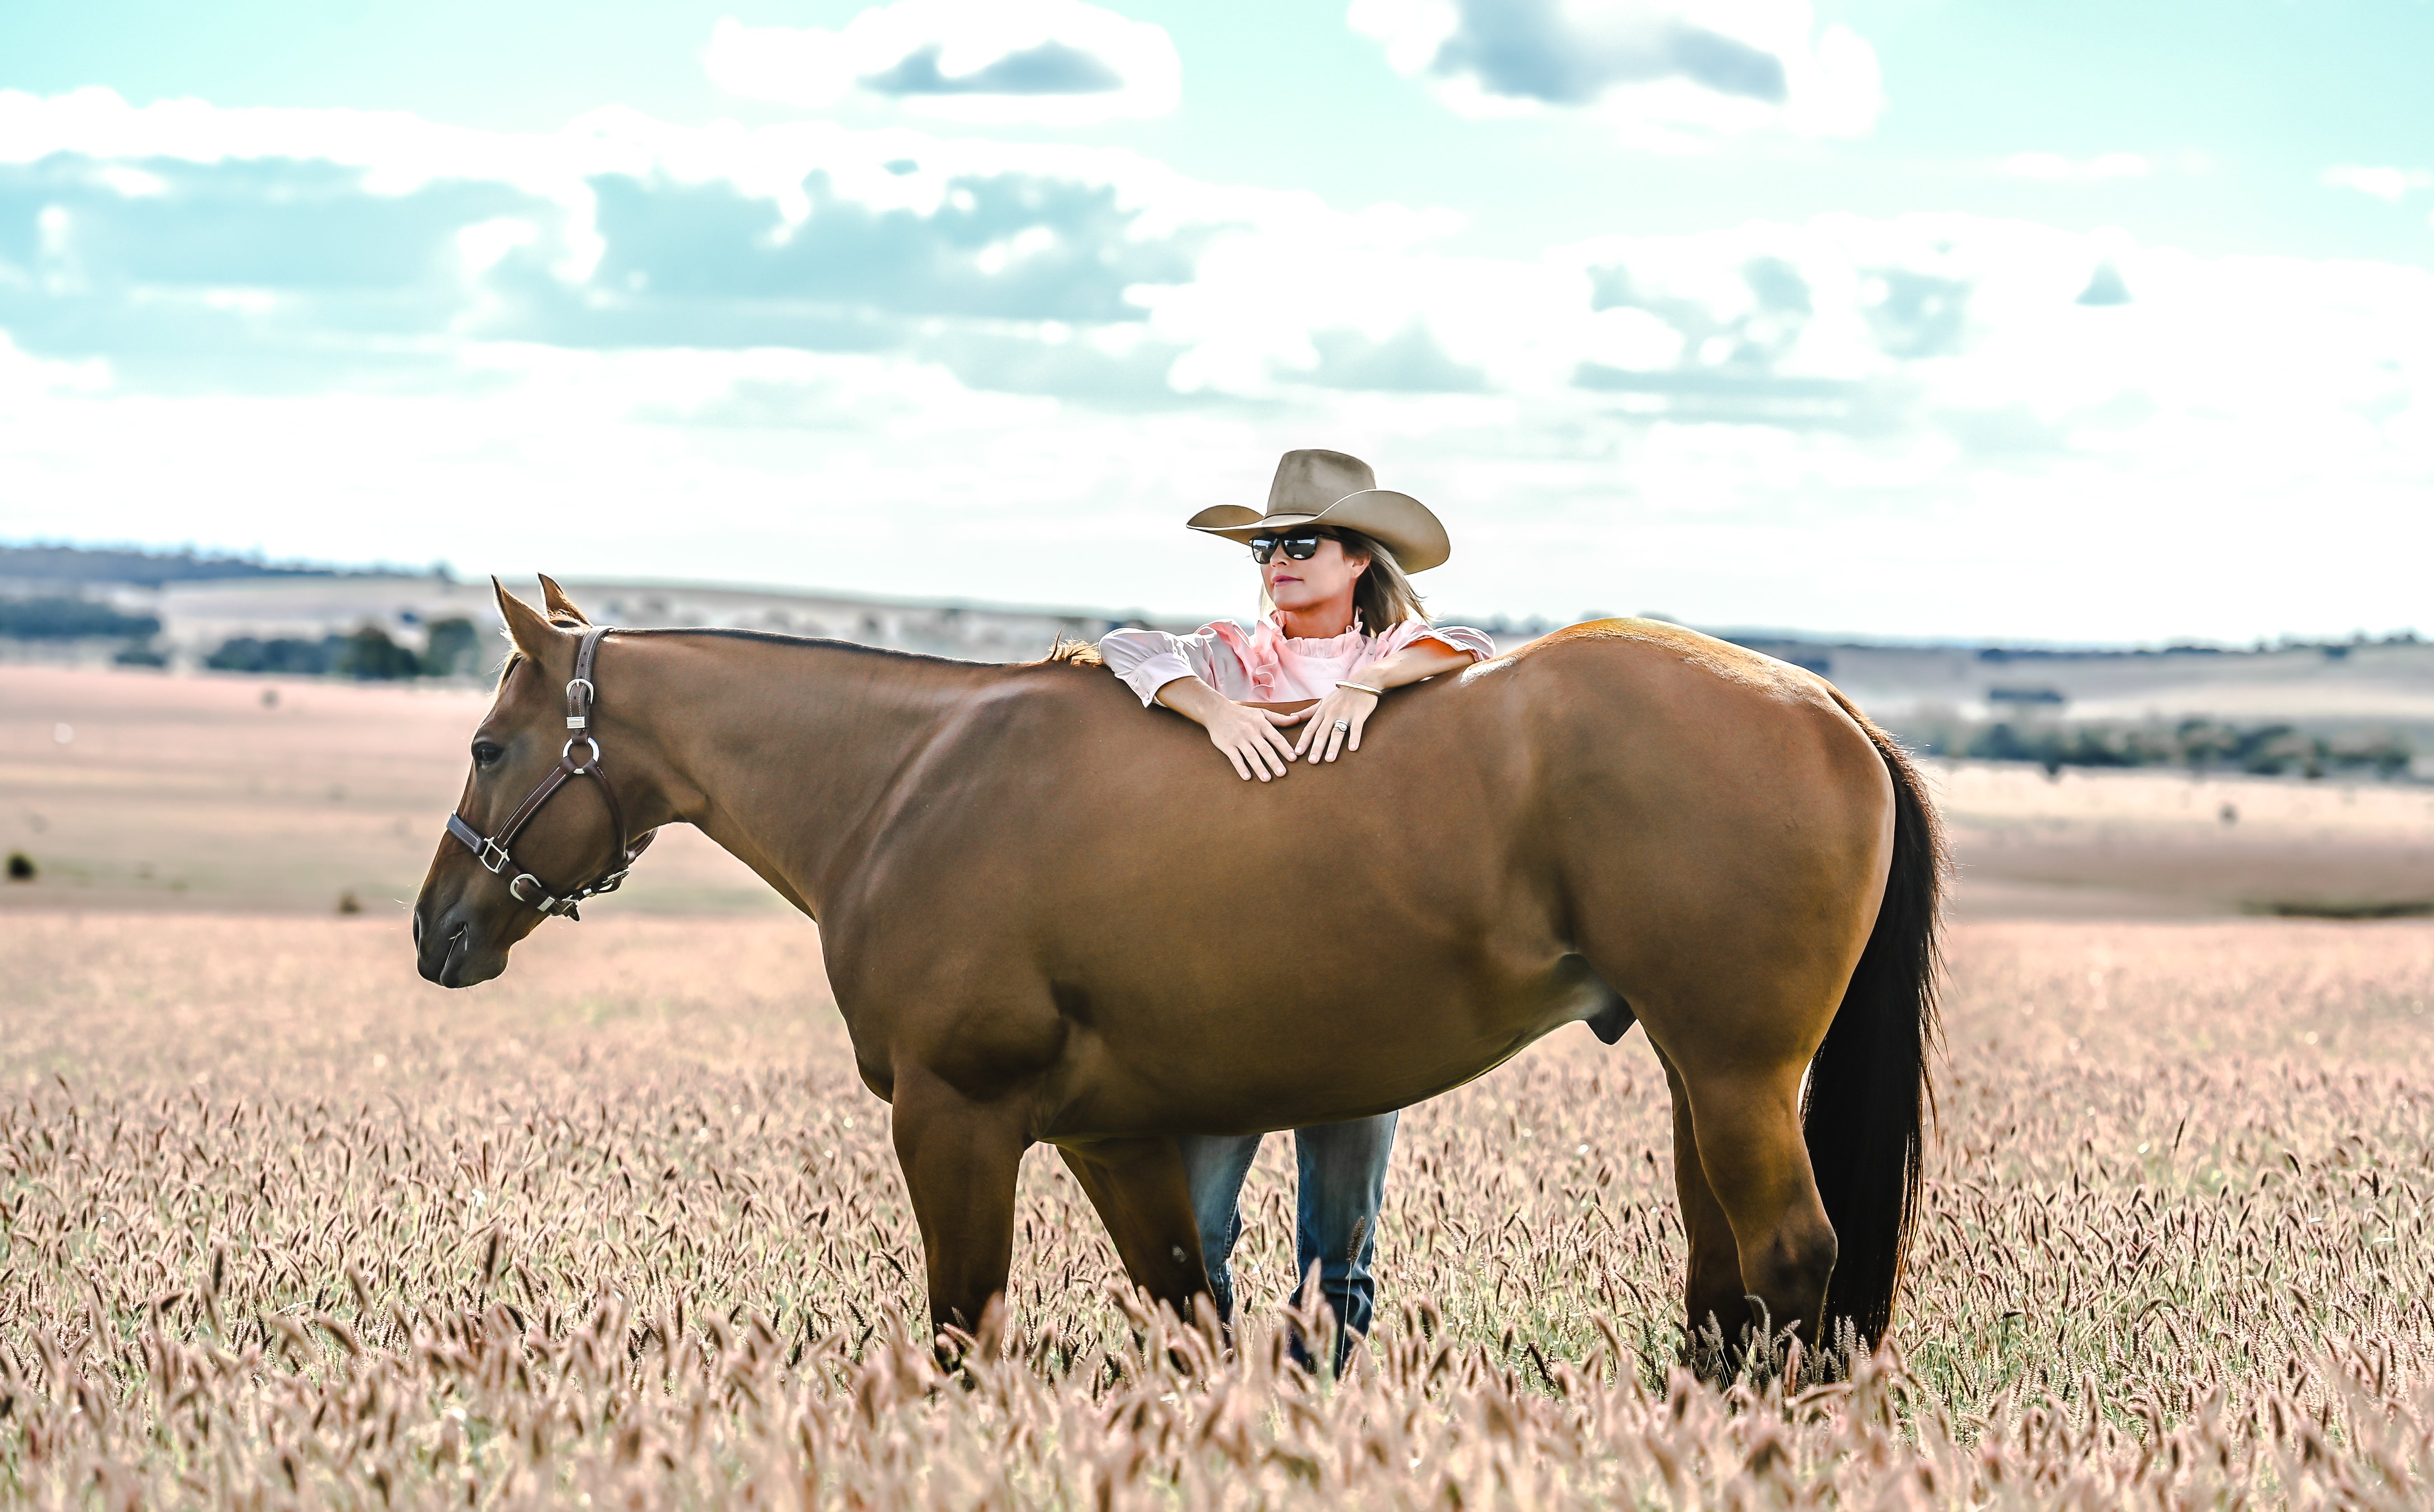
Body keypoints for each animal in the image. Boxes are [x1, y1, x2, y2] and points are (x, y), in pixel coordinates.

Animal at [413, 582, 1937, 1353]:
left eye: (488, 747)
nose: (436, 930)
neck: (907, 779)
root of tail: (1823, 699)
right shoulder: (1118, 1136)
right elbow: (1190, 1312)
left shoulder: (956, 1120)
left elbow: (964, 1327)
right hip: (1700, 1077)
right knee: (1723, 1277)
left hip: (1737, 1076)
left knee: (1791, 1258)